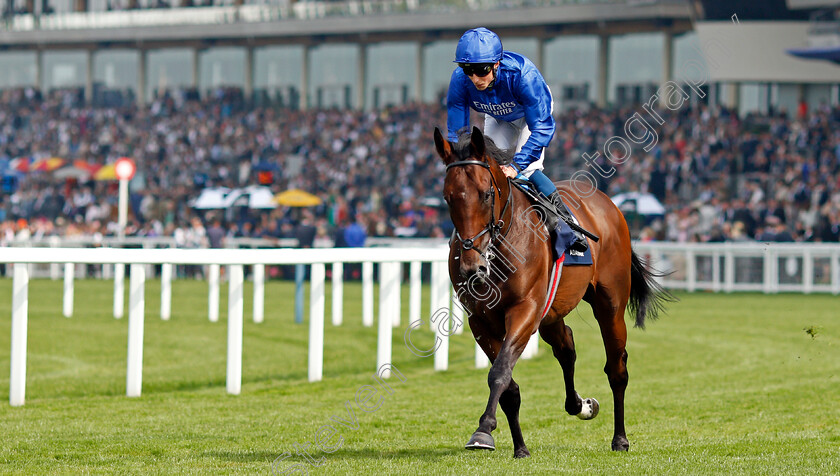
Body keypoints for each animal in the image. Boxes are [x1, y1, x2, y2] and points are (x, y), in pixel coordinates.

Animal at [436, 126, 672, 458]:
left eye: (486, 194)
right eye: (447, 198)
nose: (472, 267)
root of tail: (608, 203)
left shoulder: (524, 309)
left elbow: (500, 372)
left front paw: (483, 431)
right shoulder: (480, 320)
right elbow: (508, 384)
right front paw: (519, 448)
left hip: (609, 305)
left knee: (617, 368)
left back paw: (620, 439)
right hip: (551, 312)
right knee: (567, 346)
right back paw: (581, 405)